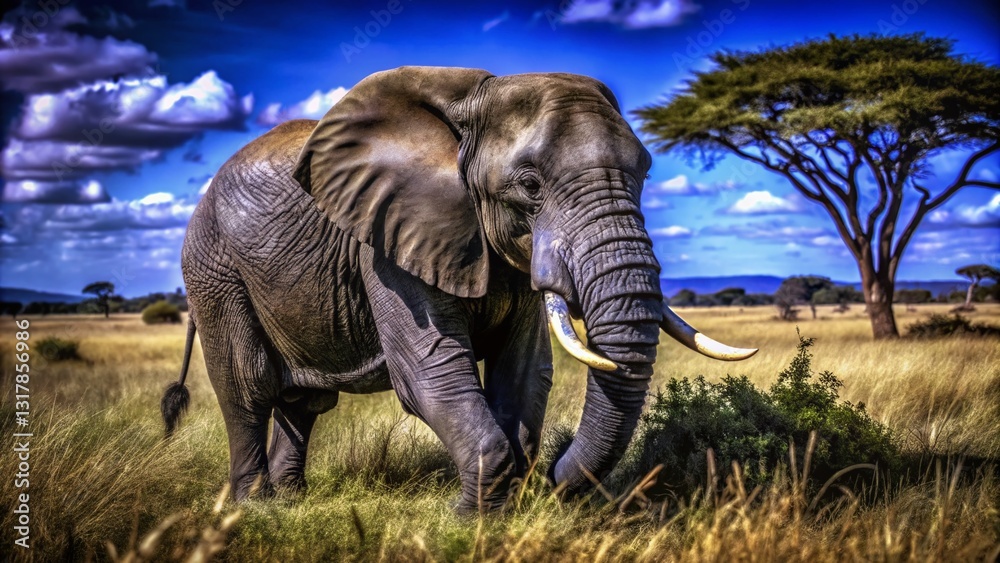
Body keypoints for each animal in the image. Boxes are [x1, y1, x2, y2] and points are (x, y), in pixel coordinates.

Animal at [160, 66, 756, 513]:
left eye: (646, 175)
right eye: (529, 185)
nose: (554, 479)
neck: (472, 101)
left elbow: (525, 367)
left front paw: (503, 506)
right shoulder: (386, 242)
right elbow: (431, 369)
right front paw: (473, 520)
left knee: (304, 402)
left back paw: (291, 501)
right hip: (214, 269)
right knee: (249, 385)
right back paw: (254, 508)